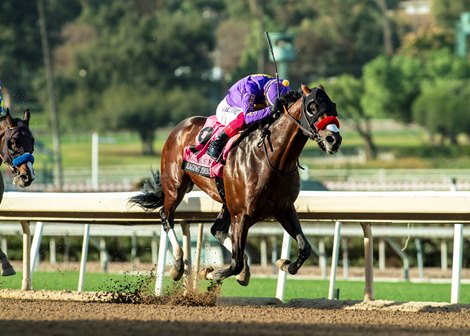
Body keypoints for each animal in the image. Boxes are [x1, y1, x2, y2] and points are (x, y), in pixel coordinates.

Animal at [130, 84, 344, 286]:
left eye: (333, 106)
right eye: (312, 107)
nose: (334, 139)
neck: (272, 160)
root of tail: (180, 126)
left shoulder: (284, 209)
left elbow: (305, 248)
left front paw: (284, 264)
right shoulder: (241, 215)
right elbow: (235, 262)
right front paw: (210, 272)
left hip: (226, 201)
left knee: (216, 229)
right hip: (175, 187)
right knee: (166, 217)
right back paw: (177, 265)